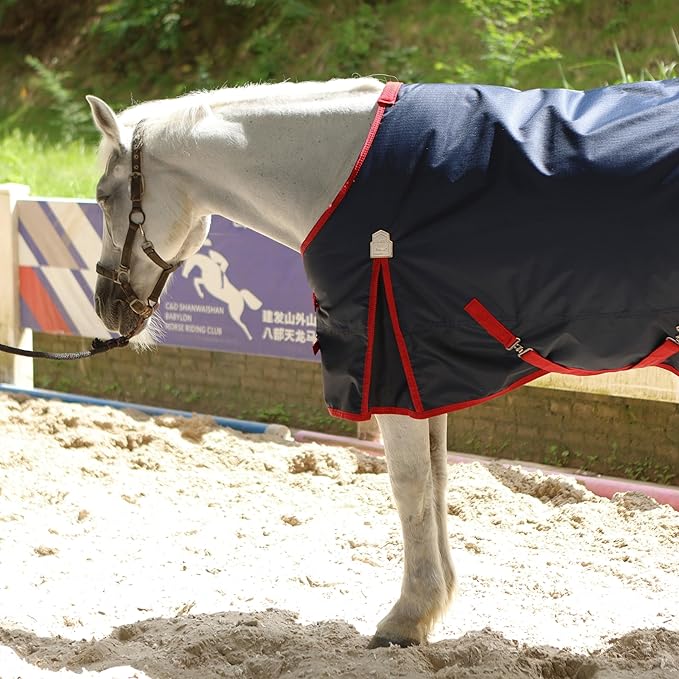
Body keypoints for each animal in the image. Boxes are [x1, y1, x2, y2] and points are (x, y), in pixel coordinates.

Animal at [86, 76, 679, 648]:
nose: (106, 304)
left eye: (103, 196)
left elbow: (409, 486)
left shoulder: (389, 367)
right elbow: (438, 481)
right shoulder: (424, 372)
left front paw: (408, 616)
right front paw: (433, 604)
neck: (342, 173)